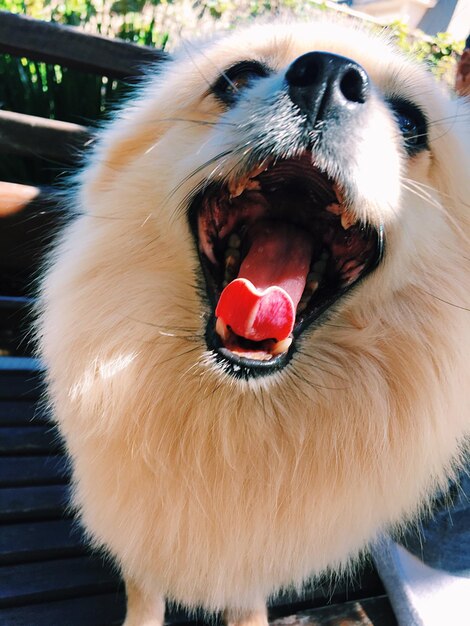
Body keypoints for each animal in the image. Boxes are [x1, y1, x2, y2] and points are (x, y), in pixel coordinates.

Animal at [37, 15, 470, 624]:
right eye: (237, 77)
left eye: (411, 124)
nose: (328, 74)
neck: (232, 415)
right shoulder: (136, 531)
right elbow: (144, 592)